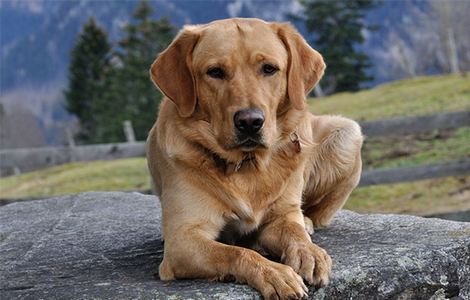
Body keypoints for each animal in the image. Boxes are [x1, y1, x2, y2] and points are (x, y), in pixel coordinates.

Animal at [147, 18, 364, 298]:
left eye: (269, 69)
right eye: (215, 72)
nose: (250, 122)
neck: (247, 164)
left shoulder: (281, 216)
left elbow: (294, 232)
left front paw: (309, 252)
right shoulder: (182, 240)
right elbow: (236, 253)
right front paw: (274, 272)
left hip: (347, 133)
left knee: (314, 214)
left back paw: (306, 222)